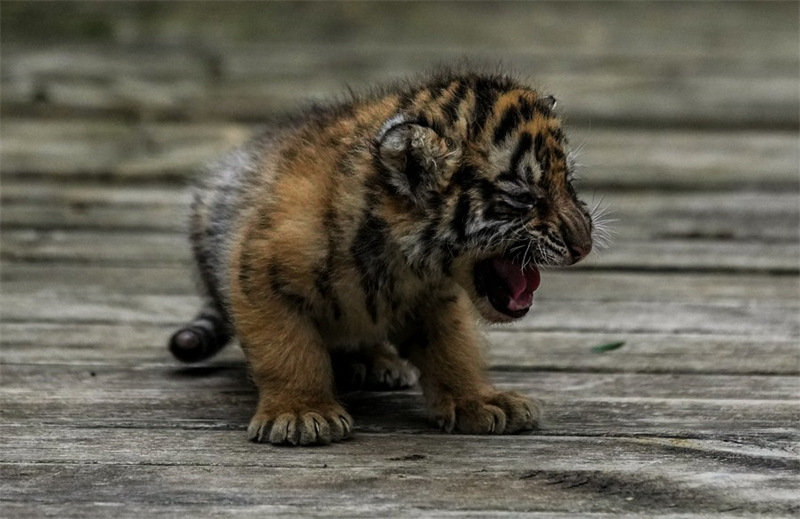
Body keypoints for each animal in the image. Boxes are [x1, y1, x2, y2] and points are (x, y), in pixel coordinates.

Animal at [169, 70, 592, 446]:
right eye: (525, 196)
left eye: (568, 183)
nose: (584, 245)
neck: (401, 259)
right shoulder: (258, 271)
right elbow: (288, 350)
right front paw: (301, 411)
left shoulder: (437, 297)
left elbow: (453, 348)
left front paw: (478, 401)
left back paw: (379, 362)